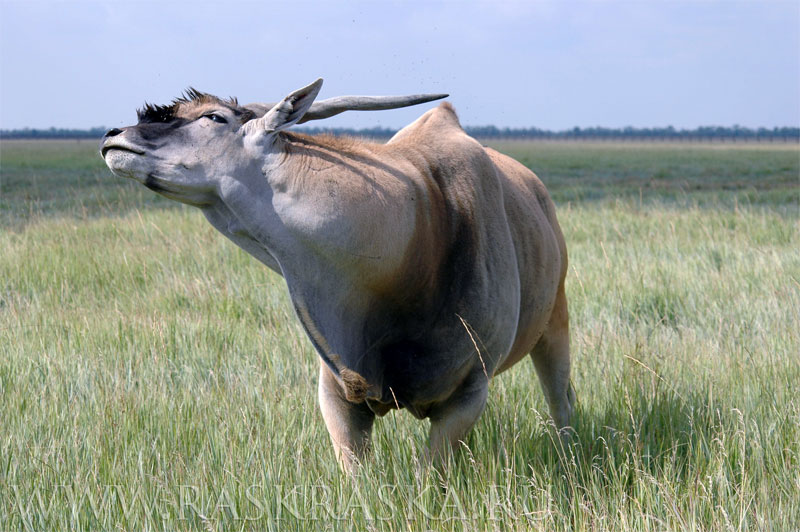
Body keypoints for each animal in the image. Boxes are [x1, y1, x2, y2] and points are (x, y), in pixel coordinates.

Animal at [101, 79, 576, 470]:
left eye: (214, 118)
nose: (112, 136)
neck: (424, 225)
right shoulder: (337, 395)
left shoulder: (467, 394)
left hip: (555, 323)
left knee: (562, 399)